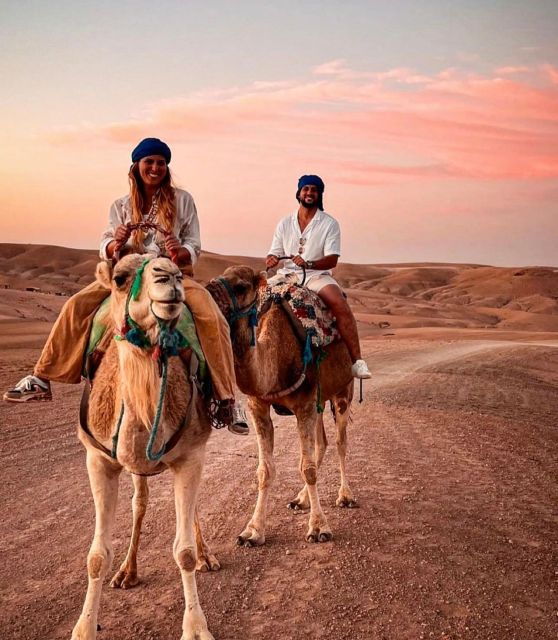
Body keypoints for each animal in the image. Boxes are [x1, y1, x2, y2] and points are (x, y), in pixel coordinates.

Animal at [72, 254, 216, 640]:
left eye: (178, 269)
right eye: (120, 278)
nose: (171, 277)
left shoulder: (191, 456)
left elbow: (183, 552)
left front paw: (196, 627)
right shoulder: (98, 460)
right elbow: (97, 556)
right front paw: (85, 627)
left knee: (189, 510)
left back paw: (207, 556)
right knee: (140, 504)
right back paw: (128, 572)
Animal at [207, 265, 356, 546]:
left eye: (241, 286)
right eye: (213, 279)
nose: (207, 296)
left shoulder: (305, 403)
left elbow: (307, 468)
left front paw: (319, 528)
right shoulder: (259, 404)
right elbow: (265, 470)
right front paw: (252, 531)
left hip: (343, 390)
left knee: (341, 442)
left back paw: (346, 496)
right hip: (319, 401)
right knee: (322, 443)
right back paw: (301, 499)